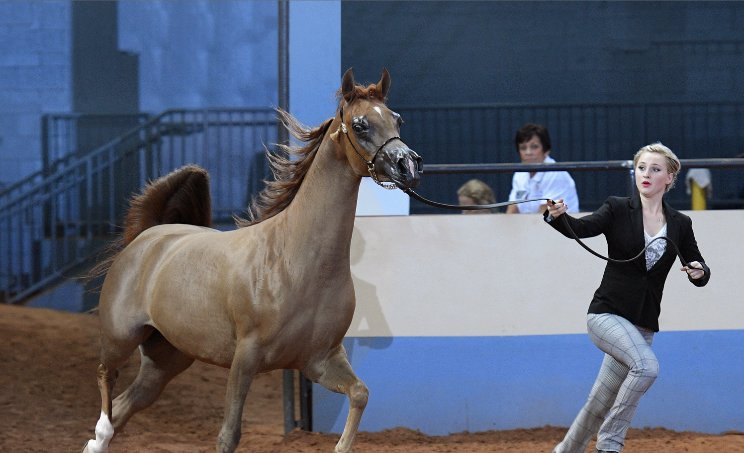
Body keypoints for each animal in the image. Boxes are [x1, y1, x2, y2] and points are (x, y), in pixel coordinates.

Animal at [81, 68, 423, 453]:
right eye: (361, 124)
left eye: (396, 118)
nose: (408, 164)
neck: (298, 262)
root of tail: (147, 237)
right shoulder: (245, 358)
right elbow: (228, 434)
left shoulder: (319, 359)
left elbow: (360, 394)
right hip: (120, 336)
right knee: (105, 381)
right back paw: (101, 429)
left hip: (166, 359)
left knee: (124, 404)